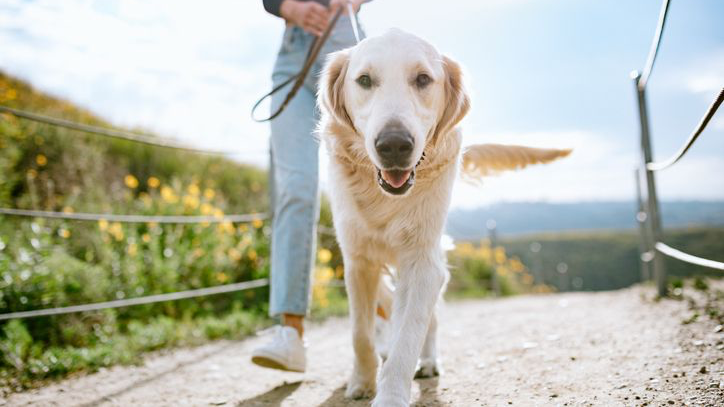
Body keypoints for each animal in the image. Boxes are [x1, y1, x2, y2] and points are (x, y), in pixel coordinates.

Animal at [320, 29, 568, 407]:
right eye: (364, 80)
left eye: (423, 79)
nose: (394, 145)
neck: (384, 199)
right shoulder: (358, 260)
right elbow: (359, 332)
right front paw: (362, 381)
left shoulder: (424, 262)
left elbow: (409, 335)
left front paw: (391, 394)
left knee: (429, 321)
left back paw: (428, 361)